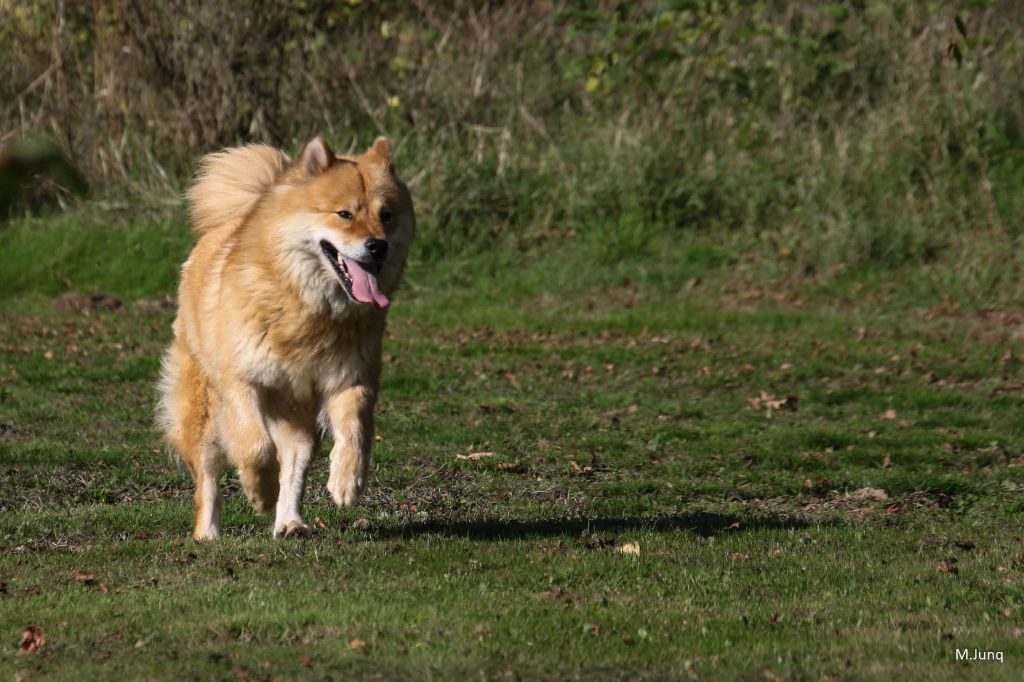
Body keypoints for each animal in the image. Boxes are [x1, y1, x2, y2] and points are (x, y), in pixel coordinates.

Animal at [157, 134, 413, 536]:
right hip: (205, 411)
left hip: (298, 414)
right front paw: (260, 490)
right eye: (345, 214)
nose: (378, 245)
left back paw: (290, 522)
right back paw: (208, 533)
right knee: (208, 475)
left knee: (295, 461)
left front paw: (347, 480)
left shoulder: (350, 379)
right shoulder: (241, 384)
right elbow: (255, 446)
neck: (306, 309)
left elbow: (355, 431)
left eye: (386, 215)